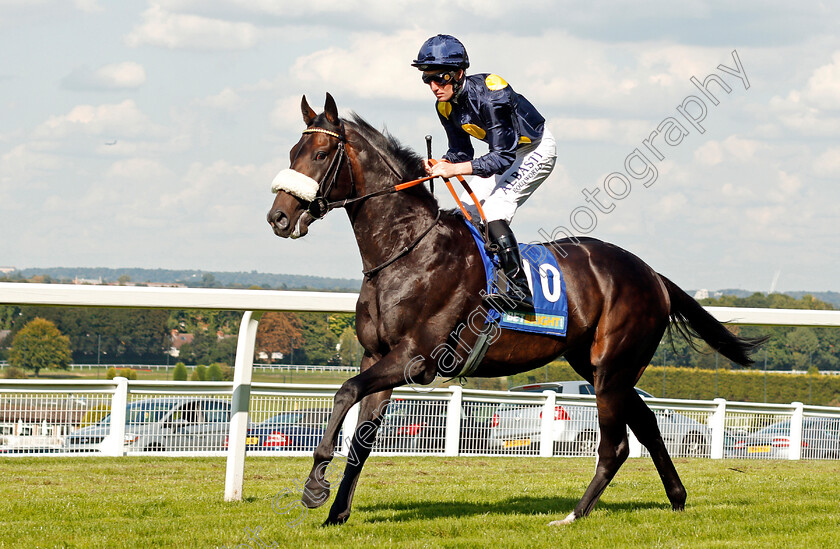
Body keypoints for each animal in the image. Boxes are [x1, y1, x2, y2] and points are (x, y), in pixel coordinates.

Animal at [266, 94, 764, 528]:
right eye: (292, 151)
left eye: (321, 152)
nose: (279, 217)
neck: (407, 250)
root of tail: (653, 275)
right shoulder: (377, 356)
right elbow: (362, 439)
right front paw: (336, 513)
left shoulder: (413, 357)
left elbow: (344, 391)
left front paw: (315, 487)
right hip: (598, 364)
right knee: (646, 425)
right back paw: (676, 499)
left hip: (613, 368)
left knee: (616, 445)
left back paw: (573, 515)